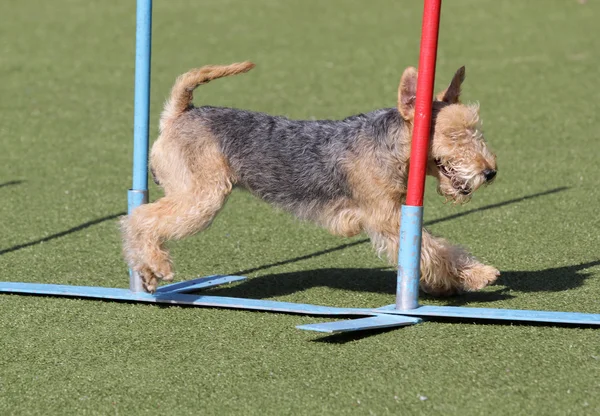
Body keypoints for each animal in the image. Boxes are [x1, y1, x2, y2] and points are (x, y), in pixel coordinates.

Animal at [119, 61, 500, 296]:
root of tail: (181, 113)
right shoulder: (386, 218)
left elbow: (430, 250)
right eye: (454, 136)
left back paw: (147, 273)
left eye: (475, 130)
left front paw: (455, 280)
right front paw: (478, 274)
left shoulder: (393, 215)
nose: (490, 172)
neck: (388, 146)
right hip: (201, 198)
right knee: (139, 218)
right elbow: (435, 249)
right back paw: (157, 266)